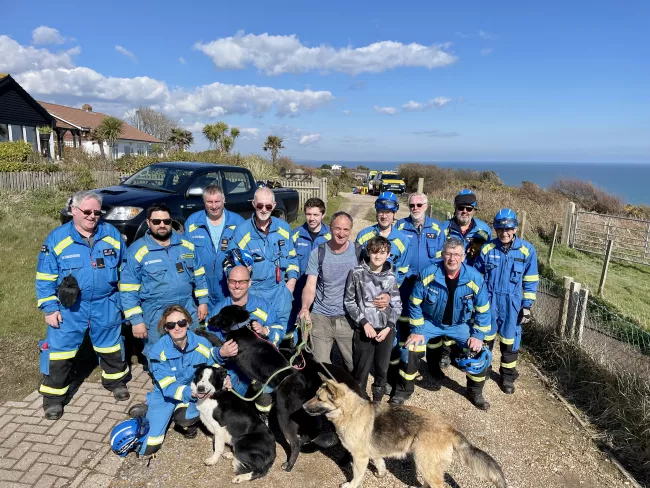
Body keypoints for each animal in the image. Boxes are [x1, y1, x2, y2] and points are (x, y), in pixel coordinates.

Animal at [304, 376, 506, 486]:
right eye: (314, 395)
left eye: (319, 398)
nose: (303, 407)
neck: (351, 411)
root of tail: (449, 428)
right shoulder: (373, 453)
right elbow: (380, 463)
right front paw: (381, 474)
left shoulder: (359, 458)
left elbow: (357, 476)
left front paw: (350, 485)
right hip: (428, 467)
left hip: (425, 465)